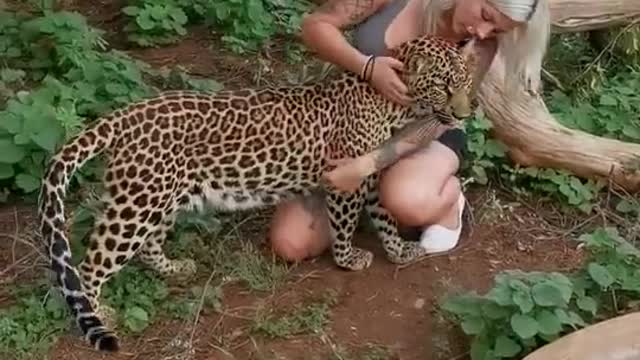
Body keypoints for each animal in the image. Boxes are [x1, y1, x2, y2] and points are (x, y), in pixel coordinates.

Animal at [35, 34, 476, 354]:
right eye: (444, 86)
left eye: (467, 84)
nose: (466, 113)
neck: (395, 105)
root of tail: (124, 116)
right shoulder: (344, 176)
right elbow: (345, 223)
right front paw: (349, 259)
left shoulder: (367, 175)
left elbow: (384, 215)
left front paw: (399, 251)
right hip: (138, 204)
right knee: (92, 264)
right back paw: (101, 311)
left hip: (159, 197)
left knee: (147, 245)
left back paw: (175, 268)